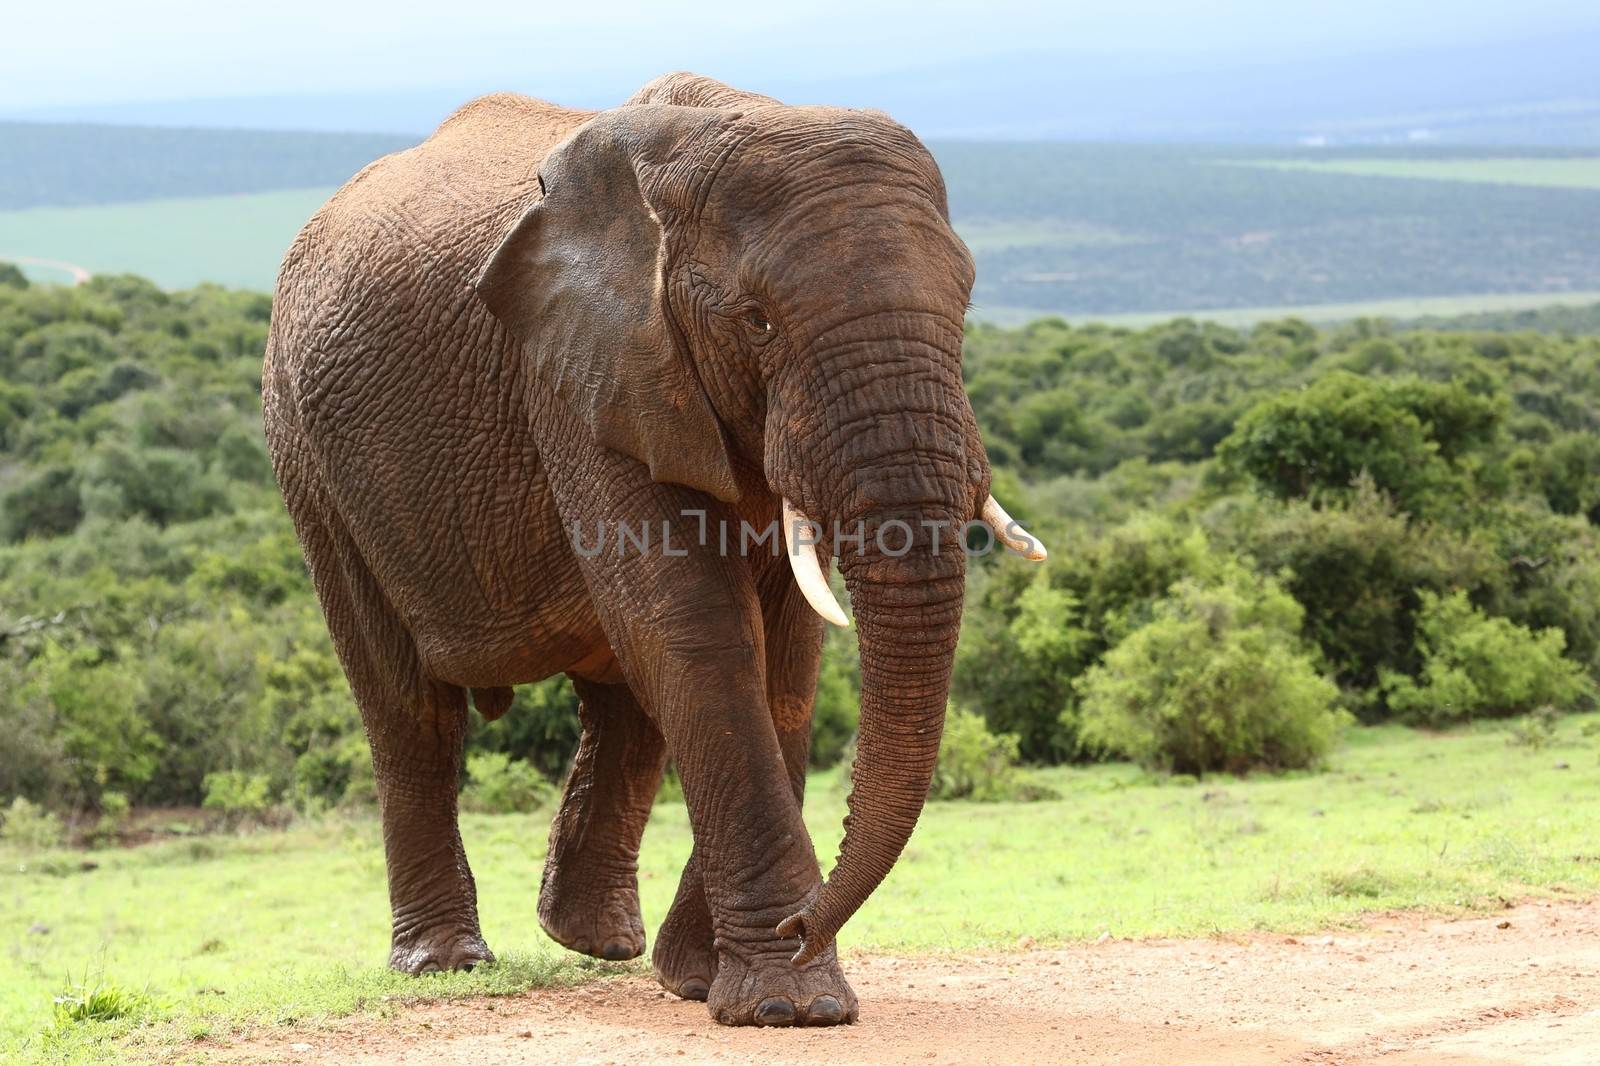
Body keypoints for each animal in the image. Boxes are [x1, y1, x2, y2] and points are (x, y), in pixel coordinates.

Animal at [262, 72, 1043, 1024]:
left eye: (966, 305)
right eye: (757, 321)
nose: (802, 923)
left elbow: (785, 656)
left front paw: (707, 982)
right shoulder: (584, 371)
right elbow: (694, 625)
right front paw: (789, 1005)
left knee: (619, 697)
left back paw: (595, 943)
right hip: (307, 450)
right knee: (409, 705)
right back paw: (446, 963)